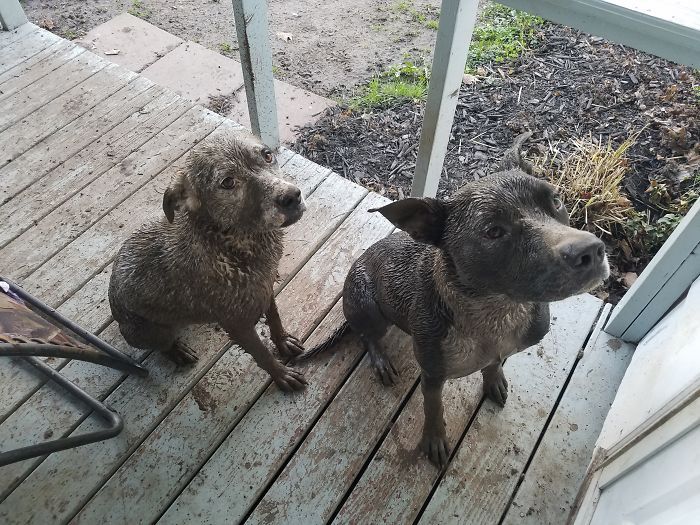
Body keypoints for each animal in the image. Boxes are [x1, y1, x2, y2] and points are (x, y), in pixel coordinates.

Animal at [108, 133, 308, 390]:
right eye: (228, 182)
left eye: (267, 155)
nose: (292, 197)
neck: (232, 245)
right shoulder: (238, 325)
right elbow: (262, 354)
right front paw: (280, 374)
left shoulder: (265, 288)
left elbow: (274, 319)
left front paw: (282, 342)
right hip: (147, 332)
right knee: (163, 345)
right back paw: (177, 351)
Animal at [300, 135, 608, 462]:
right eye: (493, 231)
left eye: (556, 201)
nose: (592, 250)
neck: (497, 312)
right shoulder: (433, 377)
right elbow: (433, 408)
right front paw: (434, 439)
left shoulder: (502, 349)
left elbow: (492, 365)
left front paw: (493, 379)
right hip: (369, 306)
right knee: (367, 336)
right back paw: (380, 360)